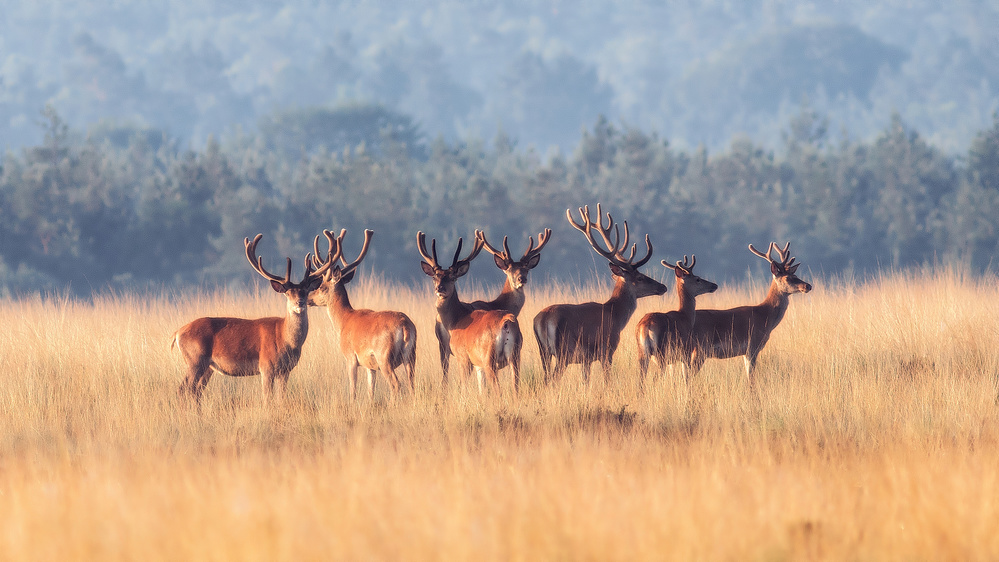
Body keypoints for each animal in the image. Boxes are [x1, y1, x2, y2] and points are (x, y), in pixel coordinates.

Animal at [172, 234, 328, 404]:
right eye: (287, 293)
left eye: (306, 292)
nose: (299, 303)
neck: (285, 339)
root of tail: (177, 333)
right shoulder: (266, 366)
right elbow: (267, 398)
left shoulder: (285, 371)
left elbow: (281, 398)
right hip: (195, 359)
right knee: (183, 389)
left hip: (207, 367)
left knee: (196, 391)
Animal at [314, 225, 420, 400]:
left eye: (322, 286)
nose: (309, 297)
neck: (343, 321)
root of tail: (405, 326)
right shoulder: (370, 366)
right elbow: (371, 391)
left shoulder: (351, 357)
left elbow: (353, 389)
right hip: (410, 355)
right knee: (412, 384)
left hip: (384, 356)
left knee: (396, 384)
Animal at [418, 231, 524, 394]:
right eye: (435, 277)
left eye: (453, 278)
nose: (439, 288)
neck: (455, 321)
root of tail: (507, 323)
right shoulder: (477, 364)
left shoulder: (463, 357)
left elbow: (464, 387)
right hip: (515, 356)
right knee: (515, 387)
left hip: (489, 358)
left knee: (497, 389)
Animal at [536, 203, 668, 382]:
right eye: (640, 277)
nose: (663, 287)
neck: (616, 316)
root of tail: (542, 320)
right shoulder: (607, 350)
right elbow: (607, 380)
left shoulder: (586, 360)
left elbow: (586, 380)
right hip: (563, 352)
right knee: (553, 378)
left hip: (544, 352)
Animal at [688, 238, 812, 382]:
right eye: (787, 278)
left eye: (795, 274)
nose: (808, 286)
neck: (765, 317)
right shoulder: (752, 346)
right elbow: (751, 379)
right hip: (700, 348)